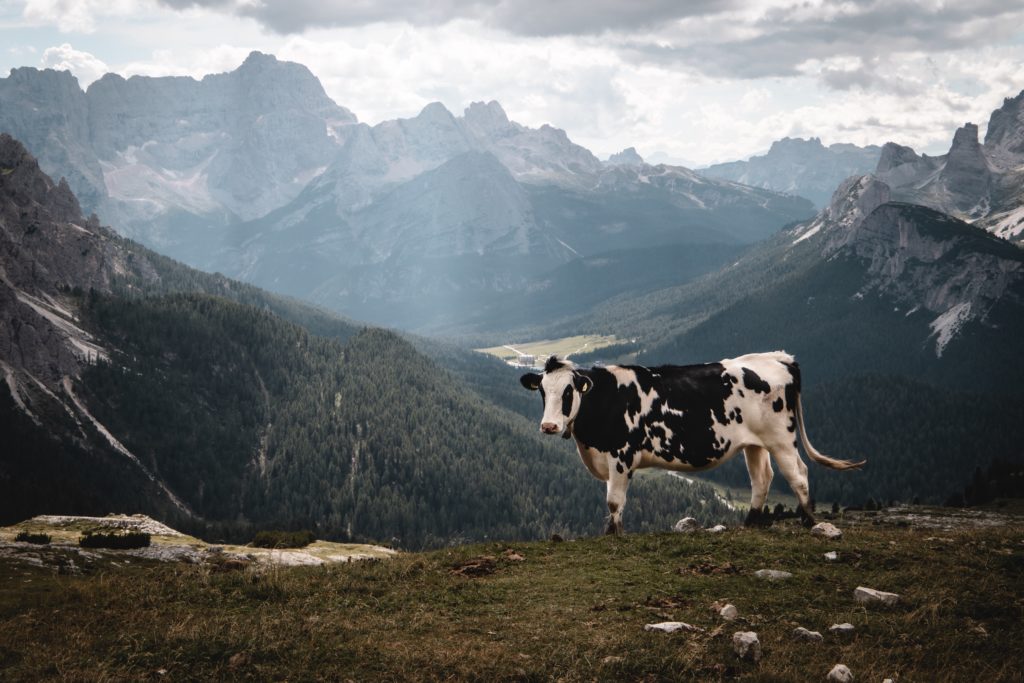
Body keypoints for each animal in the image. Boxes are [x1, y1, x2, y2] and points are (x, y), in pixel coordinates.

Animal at [520, 352, 864, 532]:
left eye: (569, 392)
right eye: (543, 391)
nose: (549, 426)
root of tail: (780, 358)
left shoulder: (621, 456)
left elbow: (614, 502)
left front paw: (612, 535)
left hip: (780, 438)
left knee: (798, 473)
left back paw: (808, 520)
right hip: (755, 444)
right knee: (762, 478)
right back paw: (751, 522)